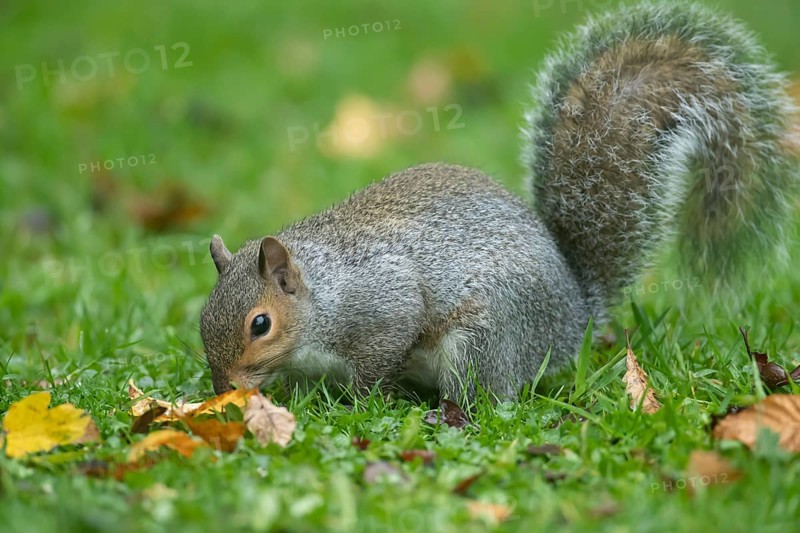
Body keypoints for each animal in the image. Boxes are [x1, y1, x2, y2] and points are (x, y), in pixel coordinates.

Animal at [200, 1, 799, 400]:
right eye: (204, 314)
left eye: (260, 324)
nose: (224, 387)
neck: (322, 292)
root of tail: (570, 317)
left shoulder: (382, 305)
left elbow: (379, 359)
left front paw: (357, 401)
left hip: (484, 337)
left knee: (489, 394)